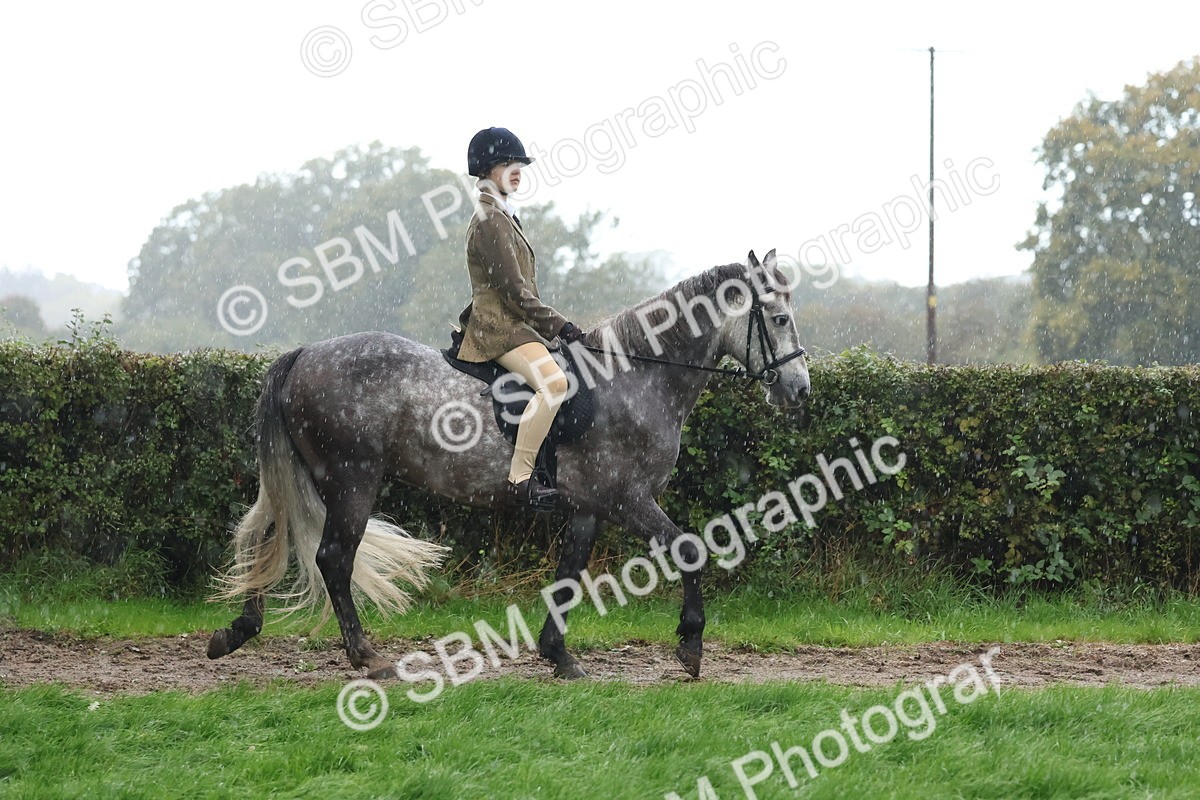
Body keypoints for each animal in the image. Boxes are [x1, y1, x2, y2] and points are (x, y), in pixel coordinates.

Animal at [207, 249, 810, 681]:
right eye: (779, 318)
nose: (799, 390)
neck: (636, 377)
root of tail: (305, 354)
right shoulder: (627, 499)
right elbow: (687, 548)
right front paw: (690, 645)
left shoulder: (589, 506)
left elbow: (569, 574)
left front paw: (558, 655)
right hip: (352, 480)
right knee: (333, 558)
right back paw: (367, 658)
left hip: (315, 478)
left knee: (268, 535)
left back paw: (237, 631)